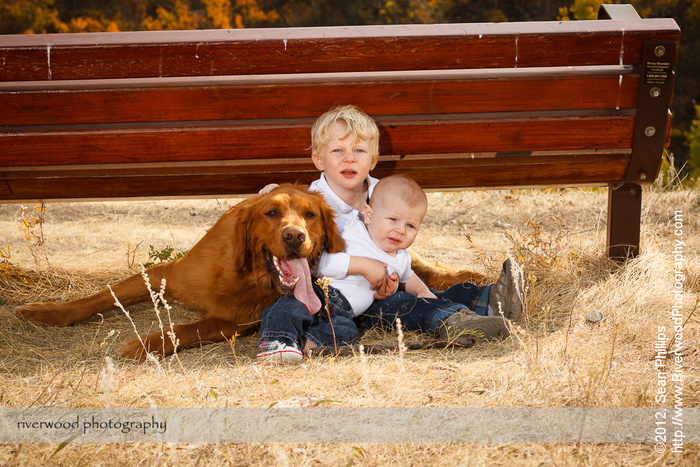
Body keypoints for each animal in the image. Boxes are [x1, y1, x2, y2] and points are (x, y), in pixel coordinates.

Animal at [16, 184, 486, 362]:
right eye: (271, 213)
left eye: (310, 214)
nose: (295, 236)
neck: (244, 275)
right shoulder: (166, 273)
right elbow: (100, 296)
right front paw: (46, 311)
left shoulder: (234, 321)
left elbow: (186, 329)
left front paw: (145, 342)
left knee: (421, 269)